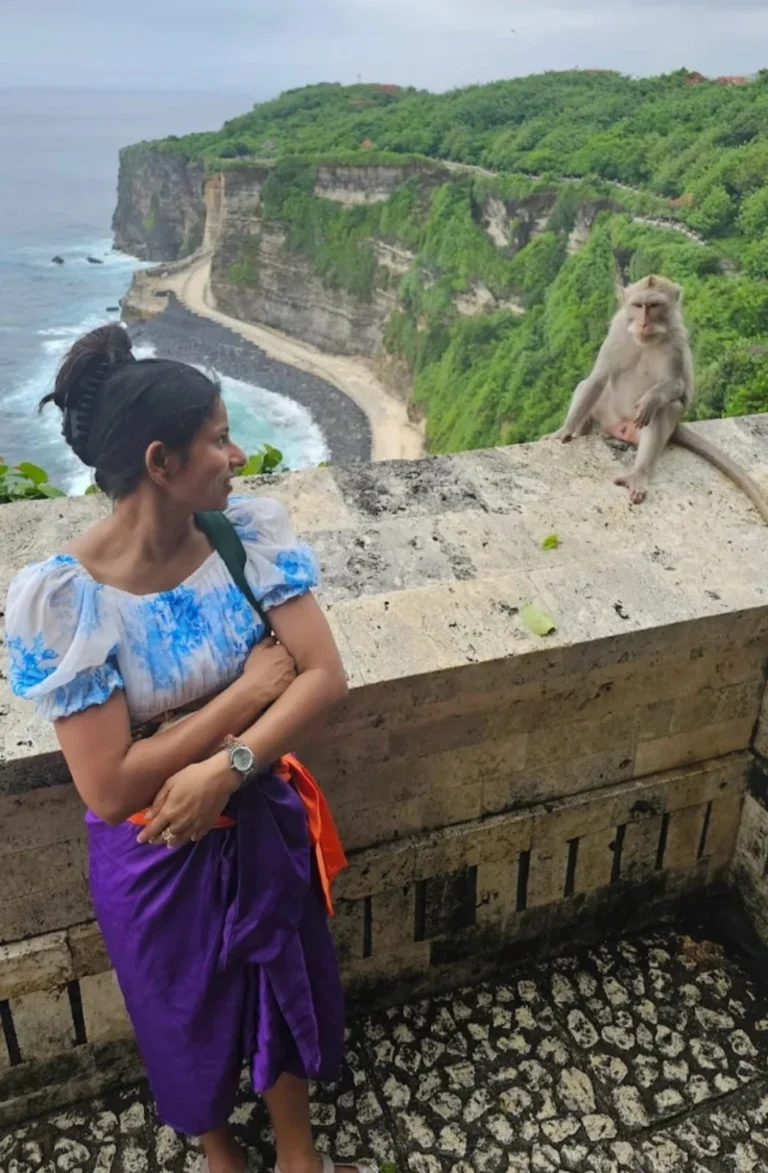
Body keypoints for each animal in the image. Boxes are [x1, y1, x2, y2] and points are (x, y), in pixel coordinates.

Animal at [544, 275, 768, 524]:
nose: (643, 323)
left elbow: (676, 386)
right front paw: (563, 431)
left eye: (654, 305)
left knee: (663, 410)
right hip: (608, 414)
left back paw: (638, 473)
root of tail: (621, 427)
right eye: (638, 305)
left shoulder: (676, 340)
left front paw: (650, 399)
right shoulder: (617, 332)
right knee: (588, 389)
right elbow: (597, 379)